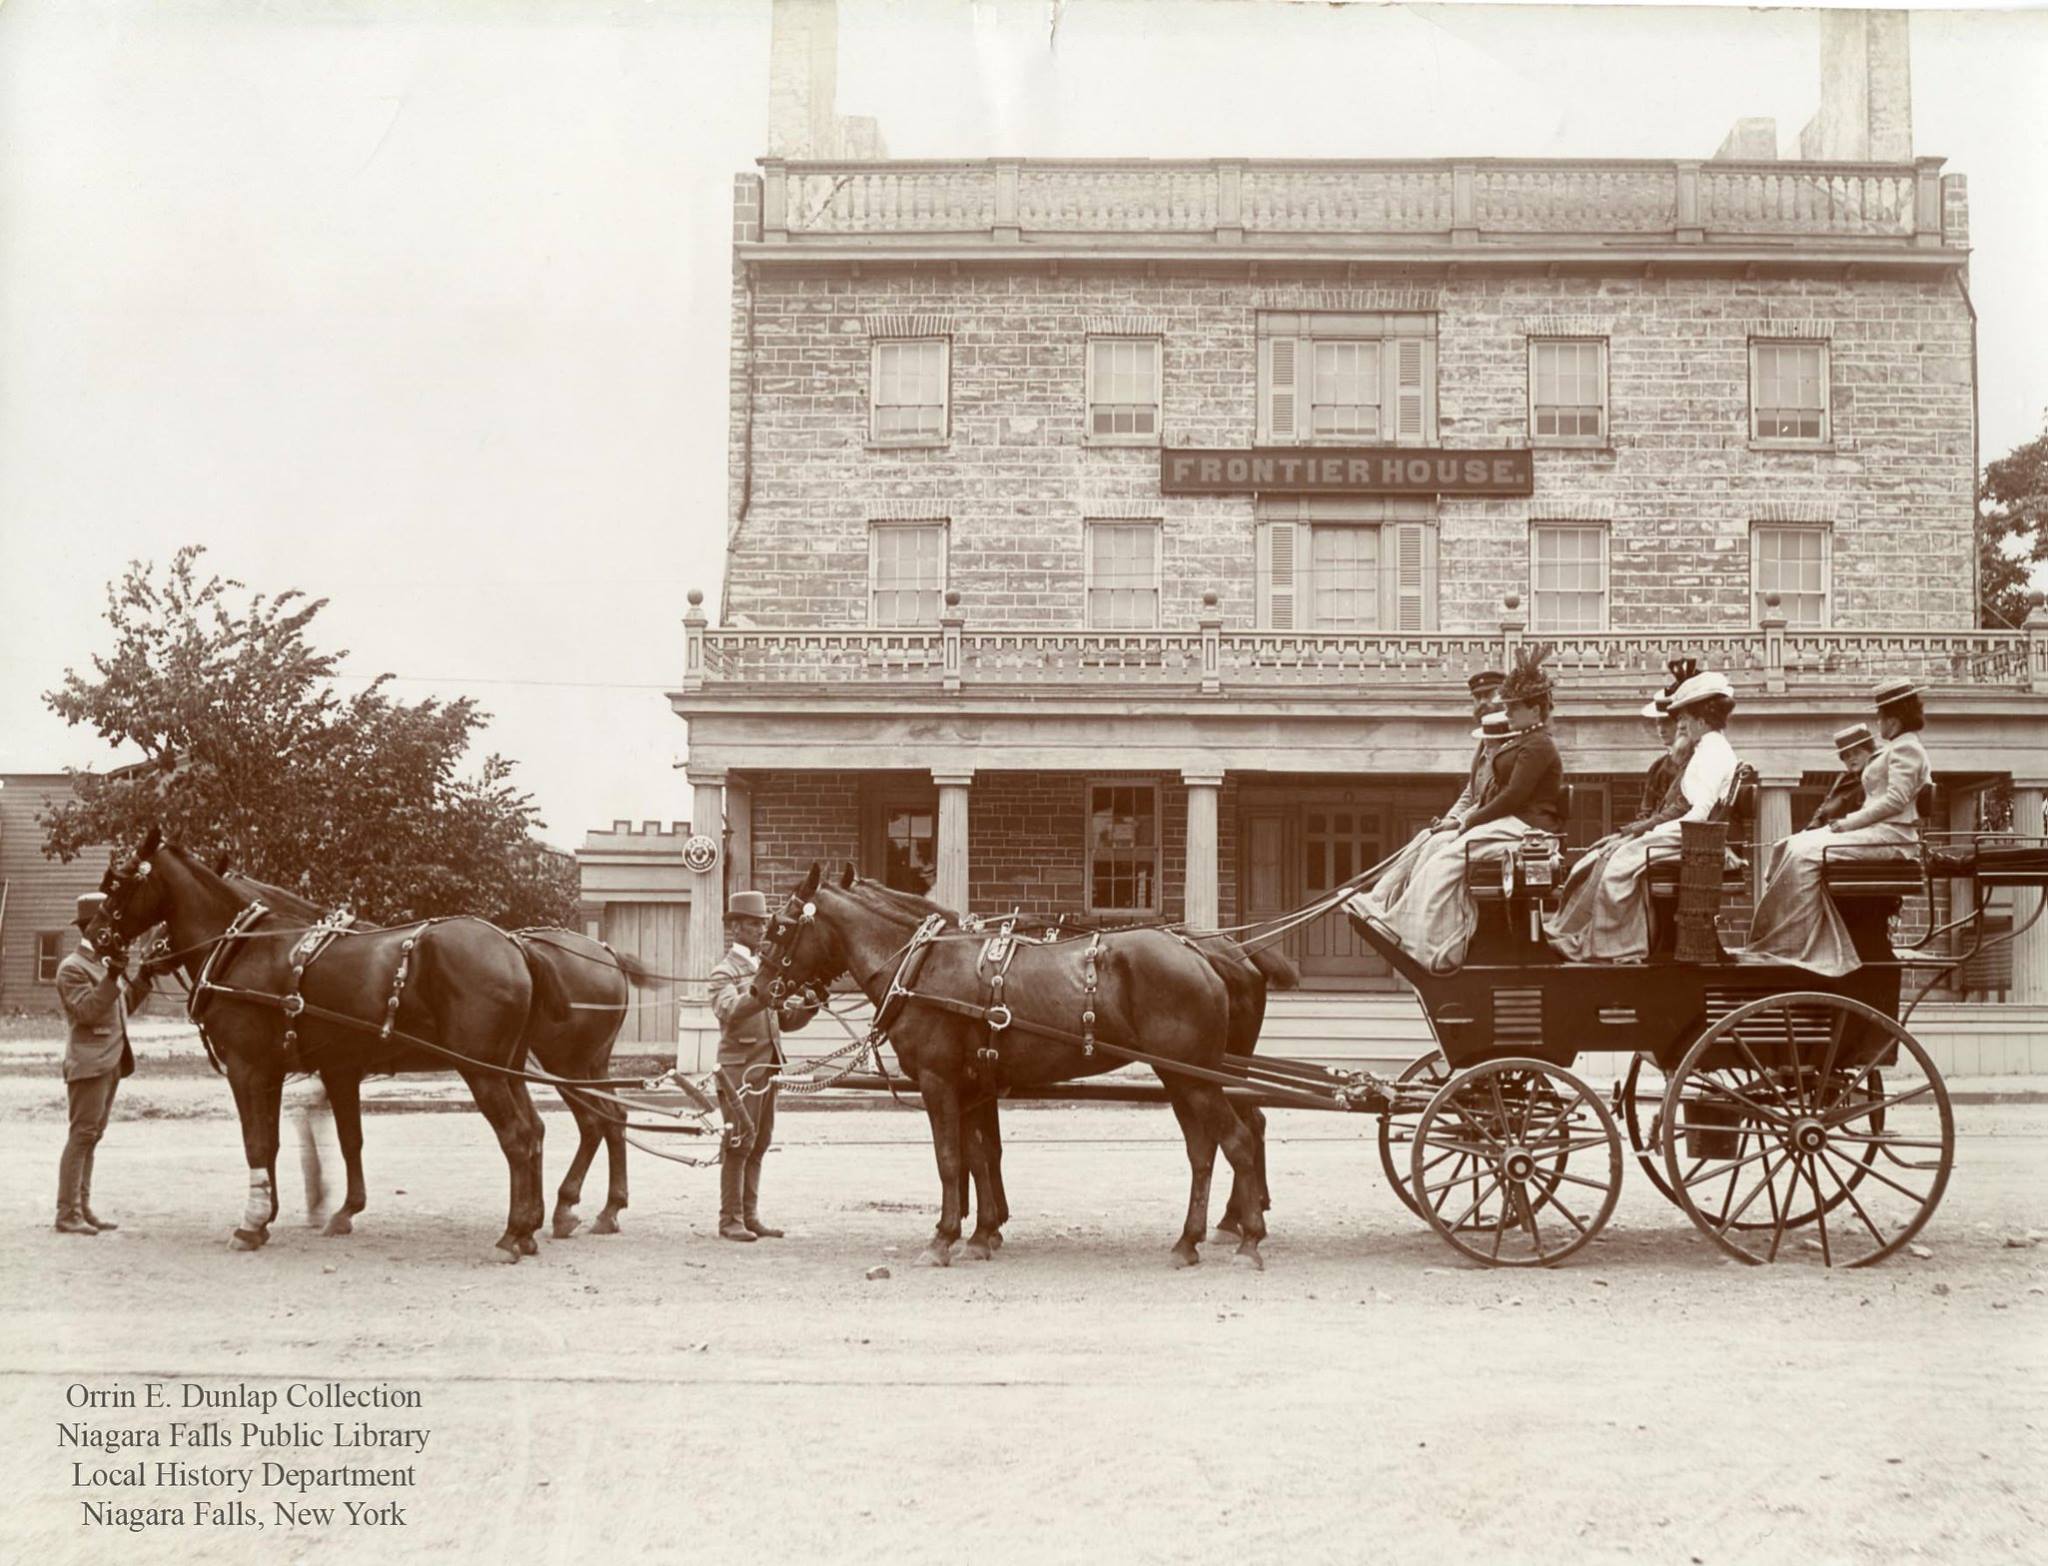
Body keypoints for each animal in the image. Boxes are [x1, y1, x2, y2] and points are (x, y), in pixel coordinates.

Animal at [89, 829, 565, 1262]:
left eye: (120, 881)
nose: (94, 933)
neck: (244, 948)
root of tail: (512, 946)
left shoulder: (248, 1068)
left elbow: (256, 1142)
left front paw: (250, 1224)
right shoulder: (299, 1070)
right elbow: (307, 1139)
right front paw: (283, 1215)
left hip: (481, 1071)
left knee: (517, 1137)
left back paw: (512, 1235)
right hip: (507, 1069)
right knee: (535, 1131)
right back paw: (528, 1229)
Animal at [759, 863, 1270, 1269]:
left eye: (781, 926)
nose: (760, 989)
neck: (921, 965)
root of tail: (1202, 954)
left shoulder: (938, 1082)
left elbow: (950, 1160)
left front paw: (942, 1239)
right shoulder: (971, 1087)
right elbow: (980, 1155)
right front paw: (982, 1234)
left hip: (1193, 1078)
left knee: (1239, 1141)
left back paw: (1248, 1241)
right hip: (1183, 1078)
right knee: (1204, 1151)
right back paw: (1189, 1241)